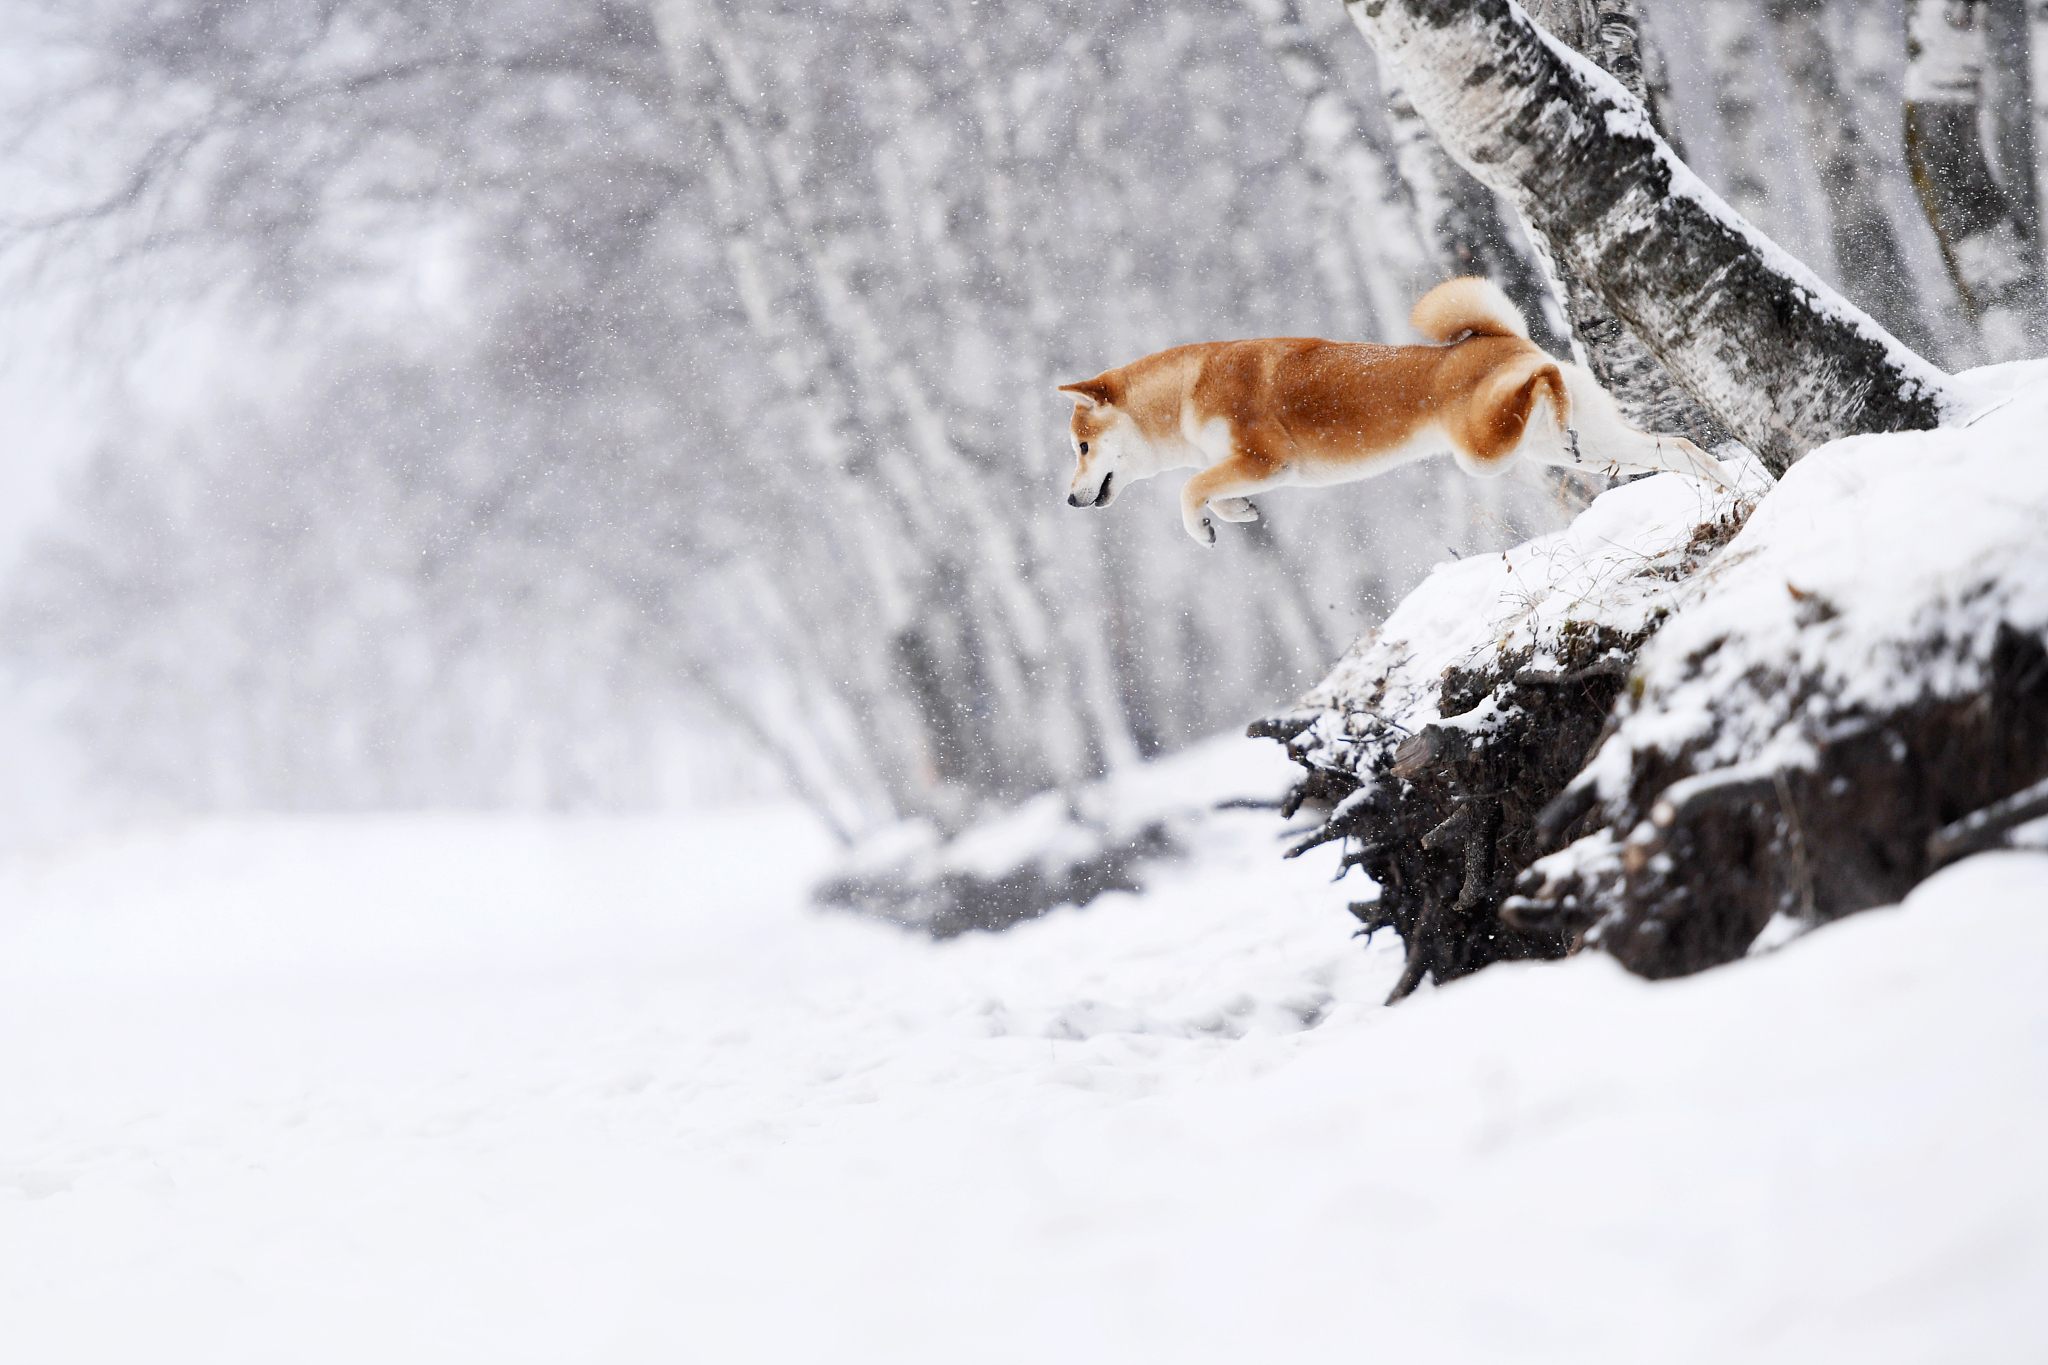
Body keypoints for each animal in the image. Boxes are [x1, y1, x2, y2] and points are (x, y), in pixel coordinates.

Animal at [1064, 278, 1736, 544]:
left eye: (1080, 447)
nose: (1069, 500)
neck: (1184, 393)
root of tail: (1507, 341)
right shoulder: (1255, 470)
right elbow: (1210, 488)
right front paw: (1236, 514)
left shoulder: (1264, 458)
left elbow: (1188, 490)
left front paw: (1204, 526)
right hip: (1580, 450)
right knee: (1676, 448)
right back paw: (1730, 487)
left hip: (1483, 453)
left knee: (1533, 390)